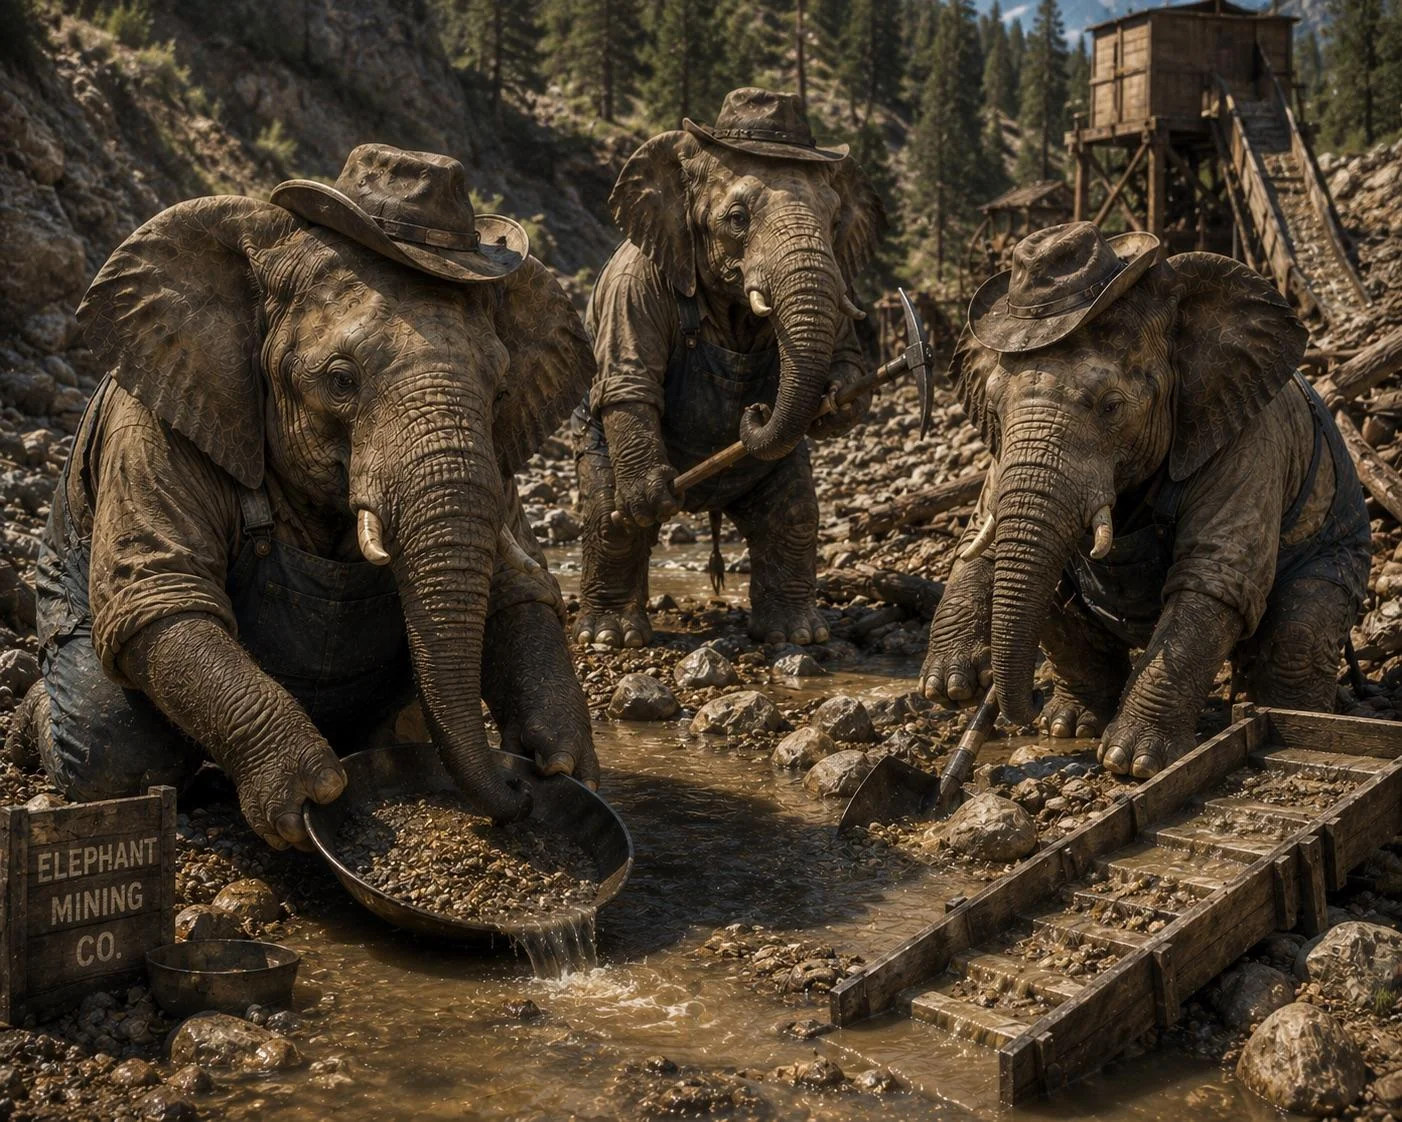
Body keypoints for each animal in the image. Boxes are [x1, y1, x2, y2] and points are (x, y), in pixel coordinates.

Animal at [5, 144, 599, 849]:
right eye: (341, 382)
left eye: (501, 393)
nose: (517, 794)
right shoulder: (153, 419)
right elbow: (163, 595)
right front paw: (308, 792)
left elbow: (518, 587)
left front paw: (562, 760)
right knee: (112, 743)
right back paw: (28, 728)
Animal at [571, 88, 886, 649]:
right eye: (737, 218)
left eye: (833, 223)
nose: (757, 413)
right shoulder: (633, 284)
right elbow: (630, 384)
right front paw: (649, 497)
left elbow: (847, 355)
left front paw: (837, 400)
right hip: (595, 442)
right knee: (606, 518)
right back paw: (612, 636)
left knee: (794, 512)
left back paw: (795, 634)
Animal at [920, 222, 1372, 779]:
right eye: (996, 411)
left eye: (1111, 407)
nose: (989, 699)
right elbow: (983, 531)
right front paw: (949, 680)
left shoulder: (1252, 436)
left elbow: (1213, 576)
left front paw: (1131, 762)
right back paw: (1068, 725)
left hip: (1341, 550)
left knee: (1300, 629)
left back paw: (1291, 717)